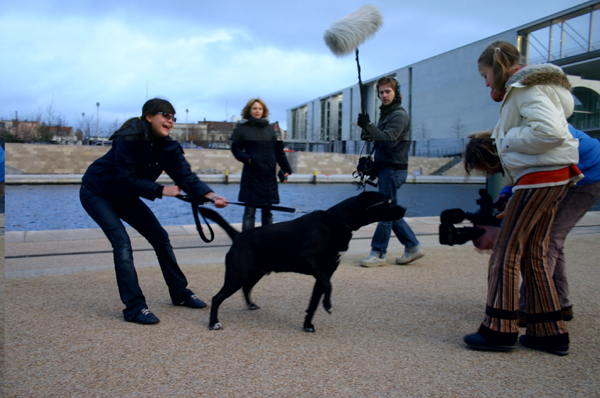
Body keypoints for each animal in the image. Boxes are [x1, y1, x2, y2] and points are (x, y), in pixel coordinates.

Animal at [199, 192, 406, 332]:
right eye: (388, 201)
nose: (404, 209)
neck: (337, 221)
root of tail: (239, 235)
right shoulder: (309, 260)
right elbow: (329, 286)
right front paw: (328, 305)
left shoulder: (324, 272)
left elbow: (314, 301)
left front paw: (308, 324)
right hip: (237, 275)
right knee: (217, 298)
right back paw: (213, 323)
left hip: (256, 272)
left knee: (246, 287)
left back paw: (250, 305)